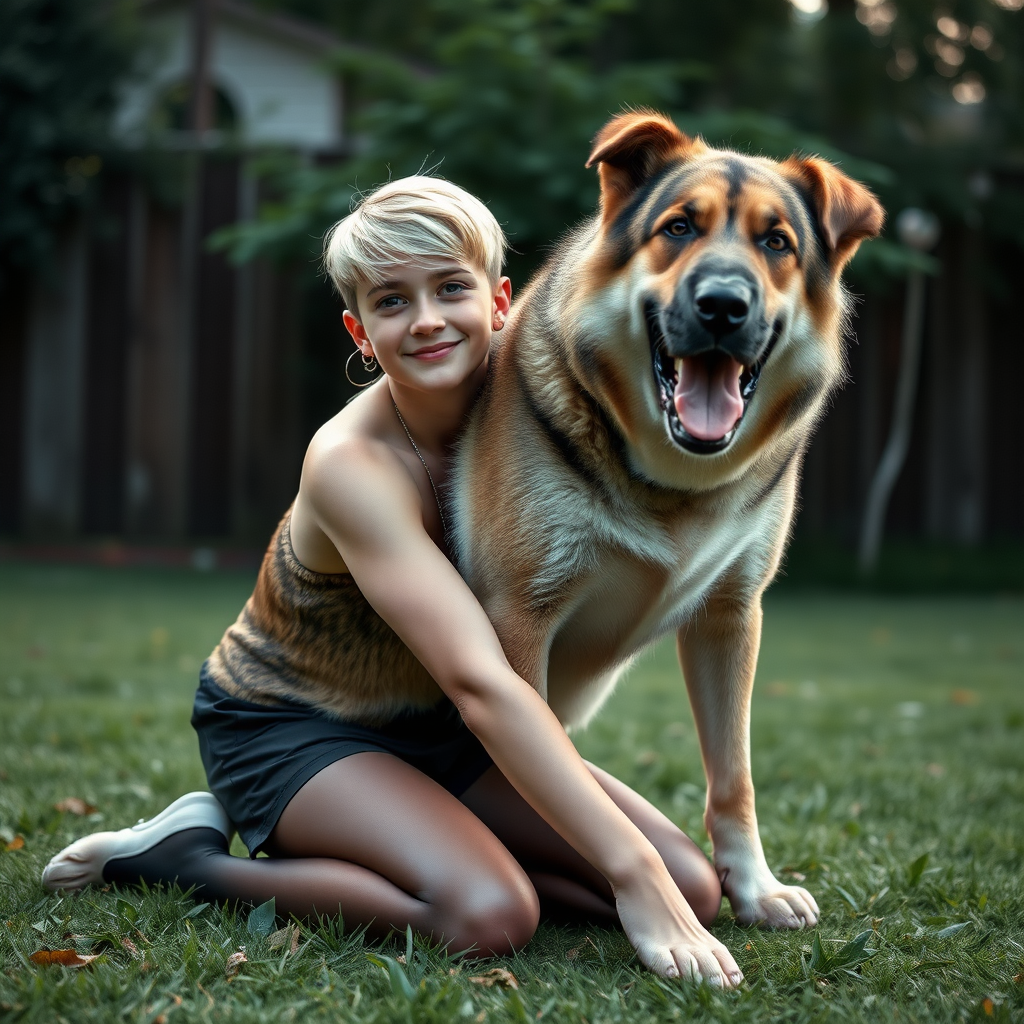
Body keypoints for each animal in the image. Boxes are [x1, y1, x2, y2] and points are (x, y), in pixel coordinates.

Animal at [452, 112, 884, 929]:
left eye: (777, 242)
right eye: (679, 227)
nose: (722, 305)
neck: (676, 484)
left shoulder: (731, 613)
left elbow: (734, 776)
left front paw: (755, 889)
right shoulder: (519, 618)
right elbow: (537, 774)